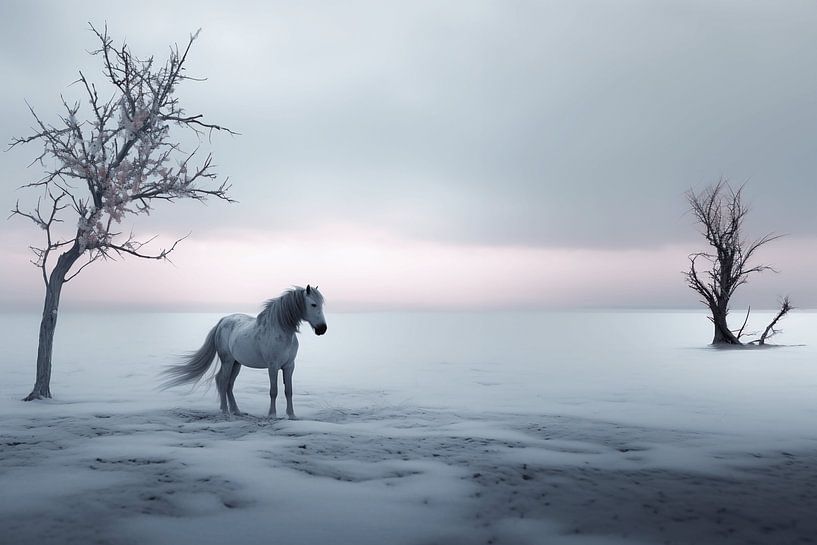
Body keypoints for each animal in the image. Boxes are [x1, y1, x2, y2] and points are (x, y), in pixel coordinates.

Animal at [160, 285, 327, 418]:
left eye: (321, 305)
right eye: (313, 304)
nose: (322, 329)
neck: (280, 331)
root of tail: (223, 320)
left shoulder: (289, 366)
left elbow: (289, 391)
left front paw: (291, 415)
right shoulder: (273, 366)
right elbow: (274, 391)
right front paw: (272, 415)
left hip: (236, 363)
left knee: (229, 384)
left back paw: (236, 410)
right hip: (227, 361)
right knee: (222, 381)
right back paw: (225, 411)